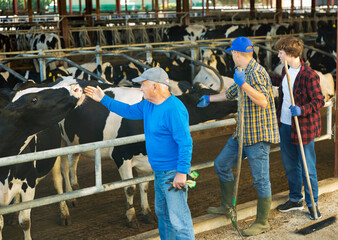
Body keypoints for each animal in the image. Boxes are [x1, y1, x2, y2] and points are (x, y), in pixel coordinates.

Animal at [0, 77, 84, 240]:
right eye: (34, 100)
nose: (76, 88)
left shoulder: (29, 184)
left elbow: (25, 221)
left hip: (56, 154)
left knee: (59, 180)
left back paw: (65, 212)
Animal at [58, 81, 238, 228]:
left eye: (213, 91)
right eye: (204, 96)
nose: (235, 101)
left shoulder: (145, 159)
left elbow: (143, 186)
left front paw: (146, 214)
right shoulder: (120, 156)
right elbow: (130, 188)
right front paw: (131, 219)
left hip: (75, 141)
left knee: (73, 160)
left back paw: (75, 188)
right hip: (61, 142)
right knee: (64, 168)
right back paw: (69, 201)